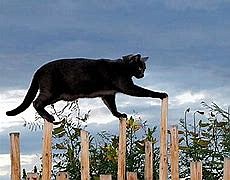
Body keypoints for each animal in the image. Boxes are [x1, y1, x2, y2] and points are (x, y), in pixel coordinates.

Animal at [5, 53, 167, 123]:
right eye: (140, 68)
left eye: (144, 68)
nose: (143, 74)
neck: (122, 66)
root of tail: (38, 70)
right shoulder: (128, 87)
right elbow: (146, 91)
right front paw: (161, 94)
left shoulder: (108, 94)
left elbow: (112, 107)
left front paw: (119, 115)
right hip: (51, 92)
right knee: (36, 102)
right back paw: (50, 118)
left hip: (57, 95)